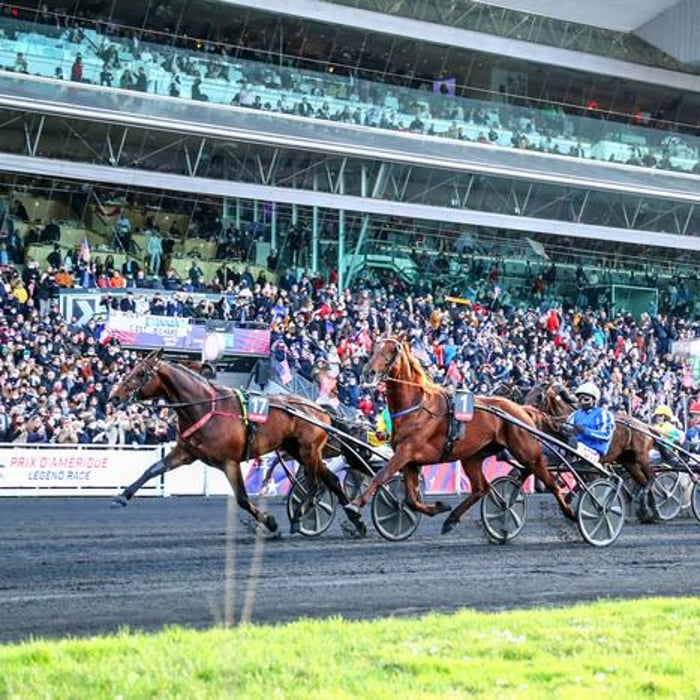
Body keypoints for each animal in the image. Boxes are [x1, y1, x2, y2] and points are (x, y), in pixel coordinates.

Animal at [108, 350, 366, 536]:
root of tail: (320, 409)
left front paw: (270, 523)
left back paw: (301, 515)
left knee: (314, 484)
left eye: (141, 373)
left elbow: (242, 498)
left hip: (308, 450)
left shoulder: (229, 462)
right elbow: (153, 469)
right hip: (298, 450)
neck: (207, 407)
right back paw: (356, 520)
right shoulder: (185, 452)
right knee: (331, 480)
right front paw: (122, 496)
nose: (114, 397)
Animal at [346, 336, 580, 532]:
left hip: (527, 452)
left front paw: (354, 506)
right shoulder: (410, 461)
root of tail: (522, 409)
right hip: (473, 456)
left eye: (392, 349)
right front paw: (438, 507)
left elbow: (381, 475)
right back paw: (453, 518)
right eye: (373, 348)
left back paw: (572, 513)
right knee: (481, 488)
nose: (368, 372)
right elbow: (411, 499)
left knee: (549, 481)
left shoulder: (406, 452)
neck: (417, 406)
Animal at [524, 382, 652, 486]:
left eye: (539, 397)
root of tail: (644, 425)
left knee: (651, 478)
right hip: (628, 461)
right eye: (527, 394)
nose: (525, 412)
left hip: (641, 457)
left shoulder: (587, 463)